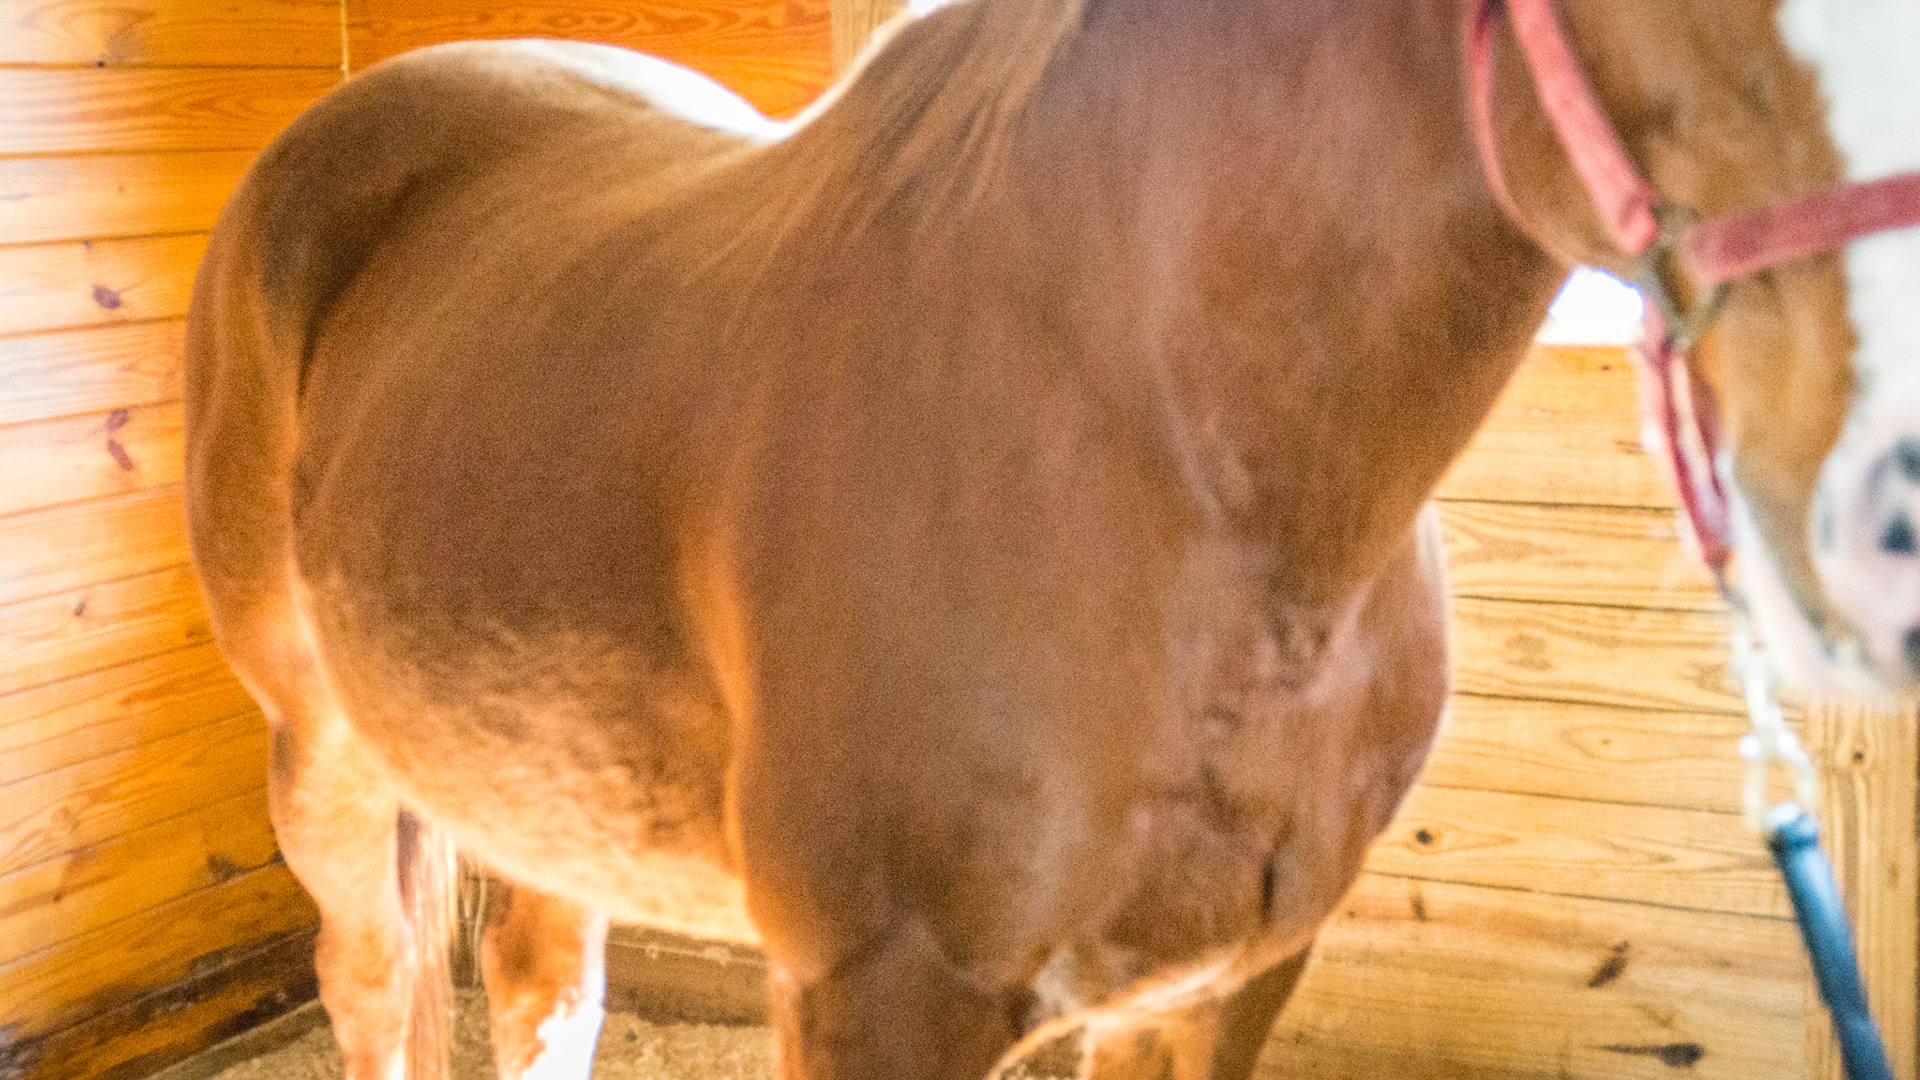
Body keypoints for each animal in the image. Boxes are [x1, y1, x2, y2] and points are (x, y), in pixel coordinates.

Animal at [180, 0, 1917, 1076]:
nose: (1883, 516)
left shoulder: (1213, 986)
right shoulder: (881, 1000)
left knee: (542, 979)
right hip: (325, 761)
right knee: (375, 988)